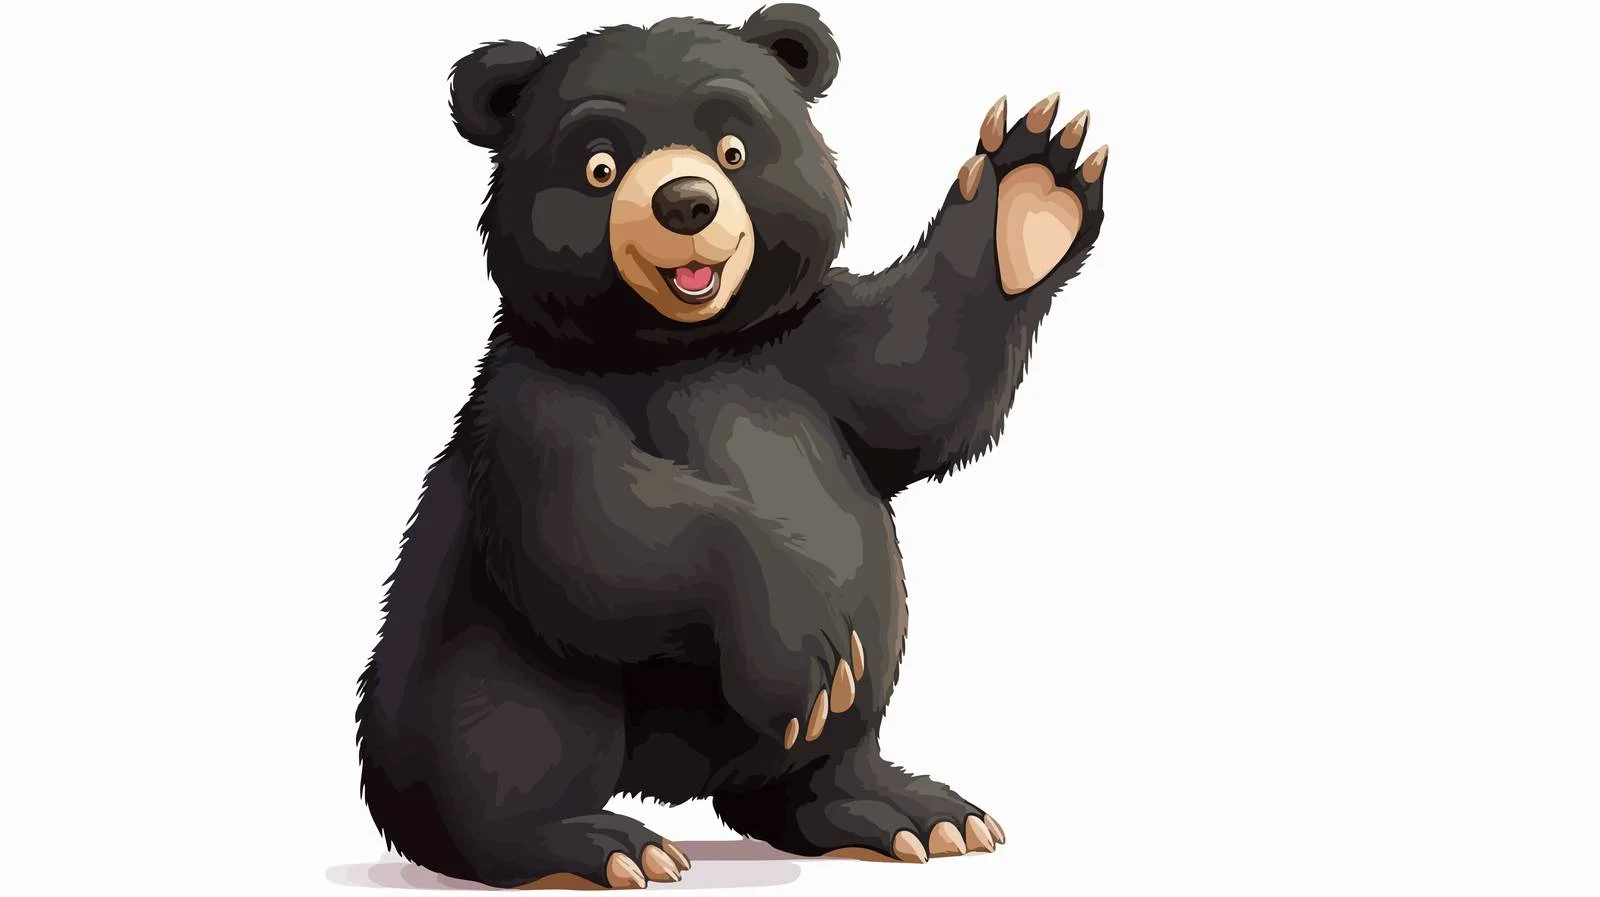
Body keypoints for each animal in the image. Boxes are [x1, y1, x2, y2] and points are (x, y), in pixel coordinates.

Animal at [355, 4, 1108, 889]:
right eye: (600, 165)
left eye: (734, 148)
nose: (686, 202)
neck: (684, 347)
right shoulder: (530, 401)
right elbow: (599, 529)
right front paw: (804, 644)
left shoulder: (804, 346)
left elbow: (918, 379)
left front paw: (1030, 190)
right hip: (470, 656)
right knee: (510, 723)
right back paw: (589, 842)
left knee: (823, 757)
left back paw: (908, 812)